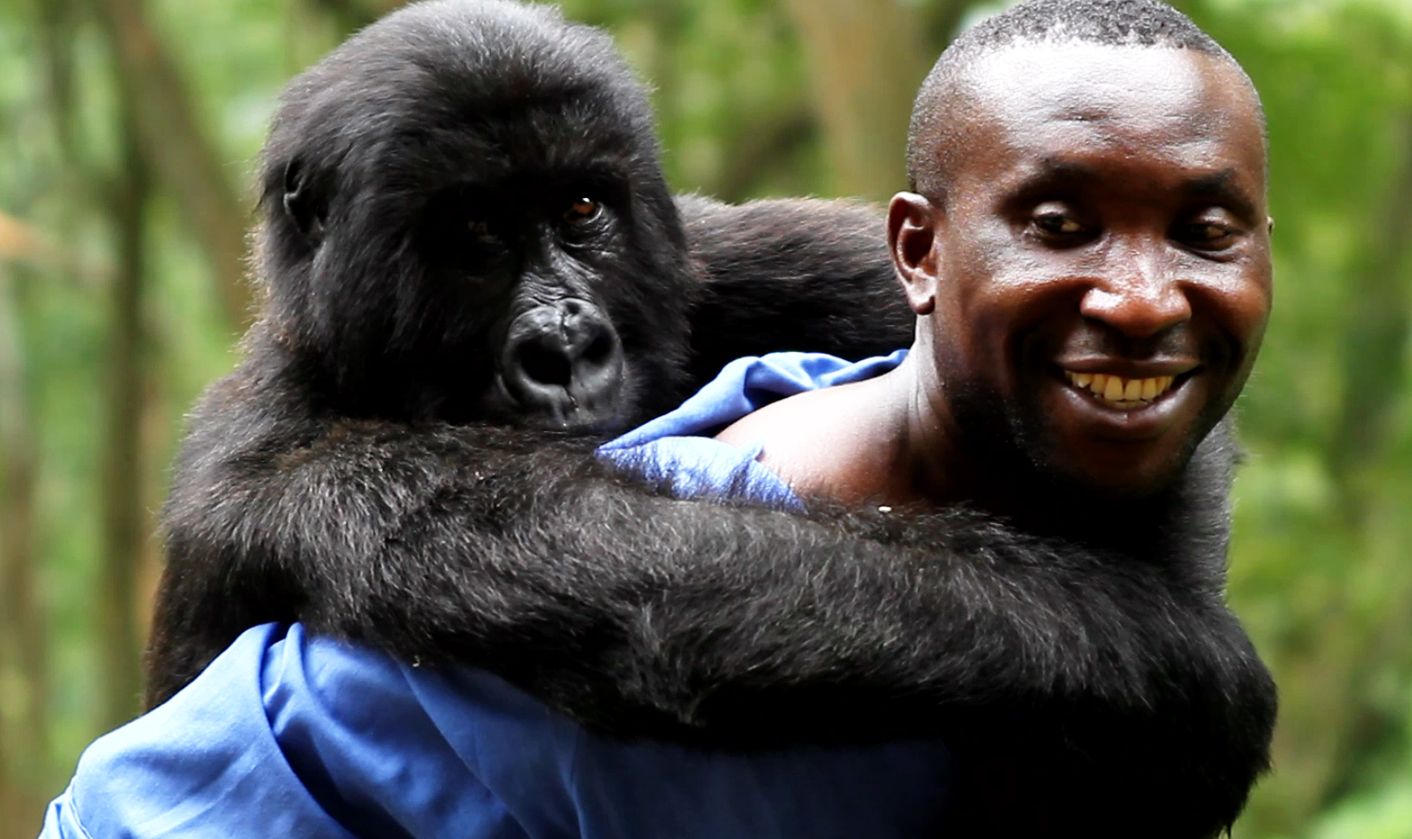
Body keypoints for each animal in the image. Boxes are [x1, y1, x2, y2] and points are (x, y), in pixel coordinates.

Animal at [127, 3, 1276, 830]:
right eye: (473, 236)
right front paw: (1153, 663)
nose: (566, 349)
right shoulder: (274, 458)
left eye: (582, 210)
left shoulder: (719, 253)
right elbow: (644, 572)